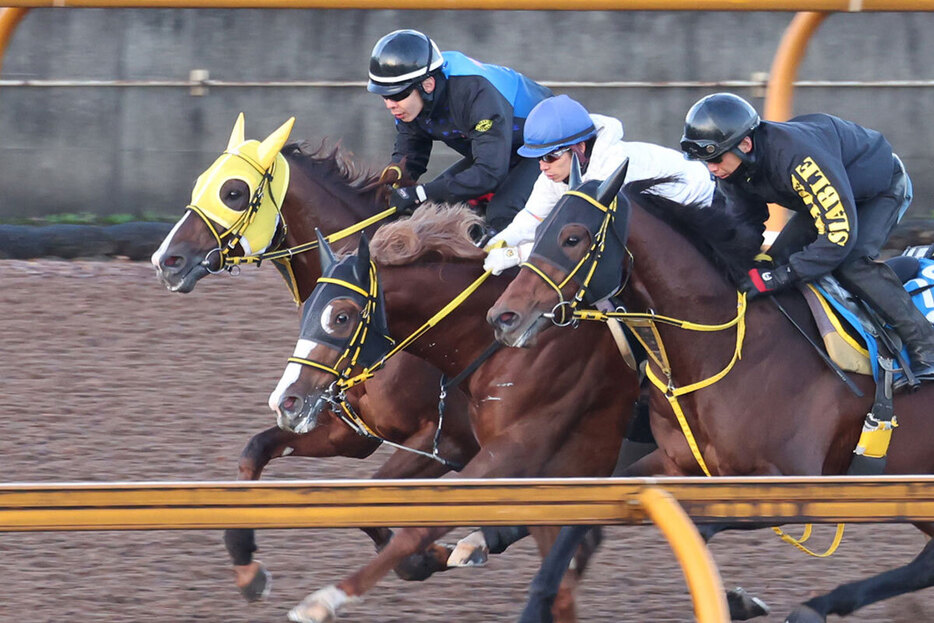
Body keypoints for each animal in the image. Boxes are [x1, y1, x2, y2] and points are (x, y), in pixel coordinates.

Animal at [152, 116, 482, 600]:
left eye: (233, 191)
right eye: (200, 183)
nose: (166, 260)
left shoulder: (449, 441)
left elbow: (374, 497)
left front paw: (429, 555)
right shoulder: (351, 431)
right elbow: (255, 451)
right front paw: (248, 568)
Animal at [486, 163, 934, 620]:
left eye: (572, 237)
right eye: (538, 231)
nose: (503, 317)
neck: (722, 348)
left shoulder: (792, 480)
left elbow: (698, 529)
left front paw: (738, 600)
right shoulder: (671, 464)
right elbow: (582, 523)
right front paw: (536, 601)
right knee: (925, 565)